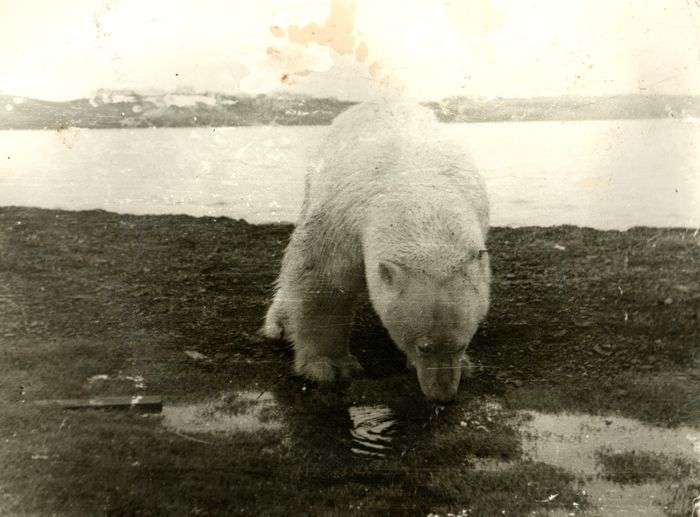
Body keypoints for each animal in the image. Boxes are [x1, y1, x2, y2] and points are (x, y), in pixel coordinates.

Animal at [264, 100, 492, 400]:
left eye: (462, 344)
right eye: (423, 347)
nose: (442, 394)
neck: (415, 184)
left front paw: (465, 367)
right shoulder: (343, 220)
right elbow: (323, 282)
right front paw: (329, 366)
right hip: (314, 178)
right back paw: (279, 325)